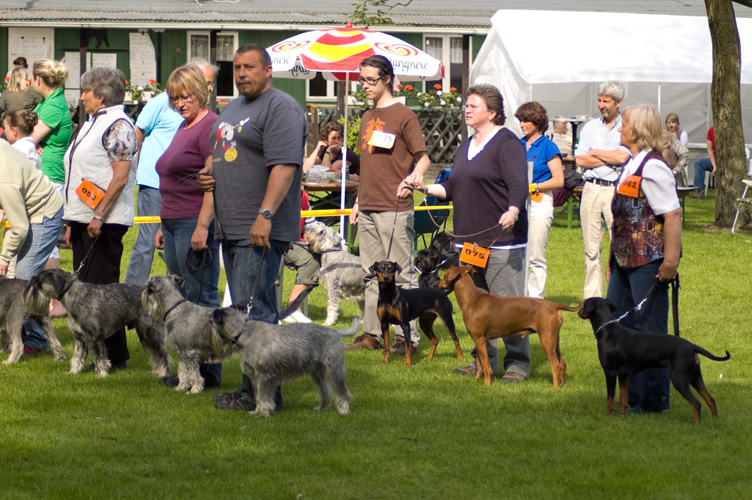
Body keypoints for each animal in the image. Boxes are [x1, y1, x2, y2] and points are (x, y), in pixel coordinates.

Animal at [24, 272, 170, 376]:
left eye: (38, 283)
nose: (25, 296)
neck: (74, 296)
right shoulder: (79, 337)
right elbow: (76, 356)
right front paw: (72, 373)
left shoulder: (93, 337)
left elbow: (100, 358)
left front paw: (101, 375)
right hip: (144, 332)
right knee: (156, 354)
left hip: (150, 330)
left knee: (162, 354)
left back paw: (162, 373)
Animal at [207, 304, 352, 418]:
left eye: (210, 322)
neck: (243, 331)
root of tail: (335, 332)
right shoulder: (255, 377)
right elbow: (258, 397)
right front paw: (257, 411)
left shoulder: (264, 376)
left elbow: (264, 397)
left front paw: (264, 413)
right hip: (318, 373)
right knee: (325, 390)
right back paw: (322, 407)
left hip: (335, 370)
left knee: (343, 391)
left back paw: (344, 410)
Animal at [576, 298, 728, 424]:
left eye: (584, 304)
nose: (578, 312)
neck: (607, 331)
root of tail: (692, 346)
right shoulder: (624, 375)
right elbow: (624, 399)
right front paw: (620, 417)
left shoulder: (610, 373)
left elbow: (610, 400)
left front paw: (607, 418)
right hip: (695, 378)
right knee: (711, 400)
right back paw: (715, 422)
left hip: (679, 379)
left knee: (696, 404)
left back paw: (696, 425)